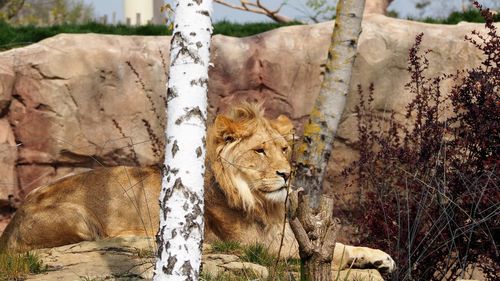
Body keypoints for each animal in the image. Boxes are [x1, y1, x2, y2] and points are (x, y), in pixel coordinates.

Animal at [0, 104, 394, 272]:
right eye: (260, 150)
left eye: (284, 149)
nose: (286, 173)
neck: (259, 201)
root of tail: (8, 228)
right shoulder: (257, 248)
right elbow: (336, 248)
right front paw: (380, 257)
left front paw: (379, 257)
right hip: (77, 216)